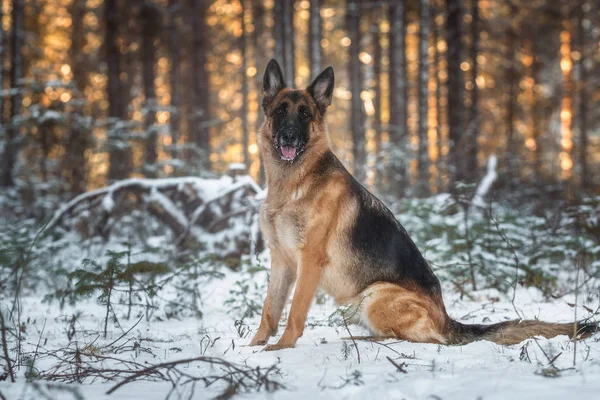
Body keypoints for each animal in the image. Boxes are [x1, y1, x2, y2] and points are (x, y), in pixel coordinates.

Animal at [247, 58, 596, 350]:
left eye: (305, 114)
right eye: (280, 111)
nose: (289, 136)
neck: (292, 184)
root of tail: (446, 319)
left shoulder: (309, 261)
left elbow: (294, 311)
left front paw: (281, 348)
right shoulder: (281, 260)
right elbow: (270, 309)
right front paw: (254, 346)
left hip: (376, 295)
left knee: (424, 339)